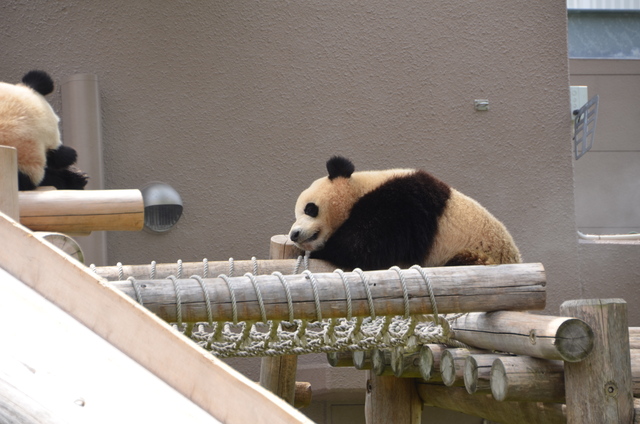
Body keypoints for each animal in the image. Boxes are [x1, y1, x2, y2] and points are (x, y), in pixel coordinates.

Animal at [288, 157, 520, 272]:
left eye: (310, 208)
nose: (294, 234)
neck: (360, 189)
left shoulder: (402, 205)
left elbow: (365, 247)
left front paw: (325, 250)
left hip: (478, 254)